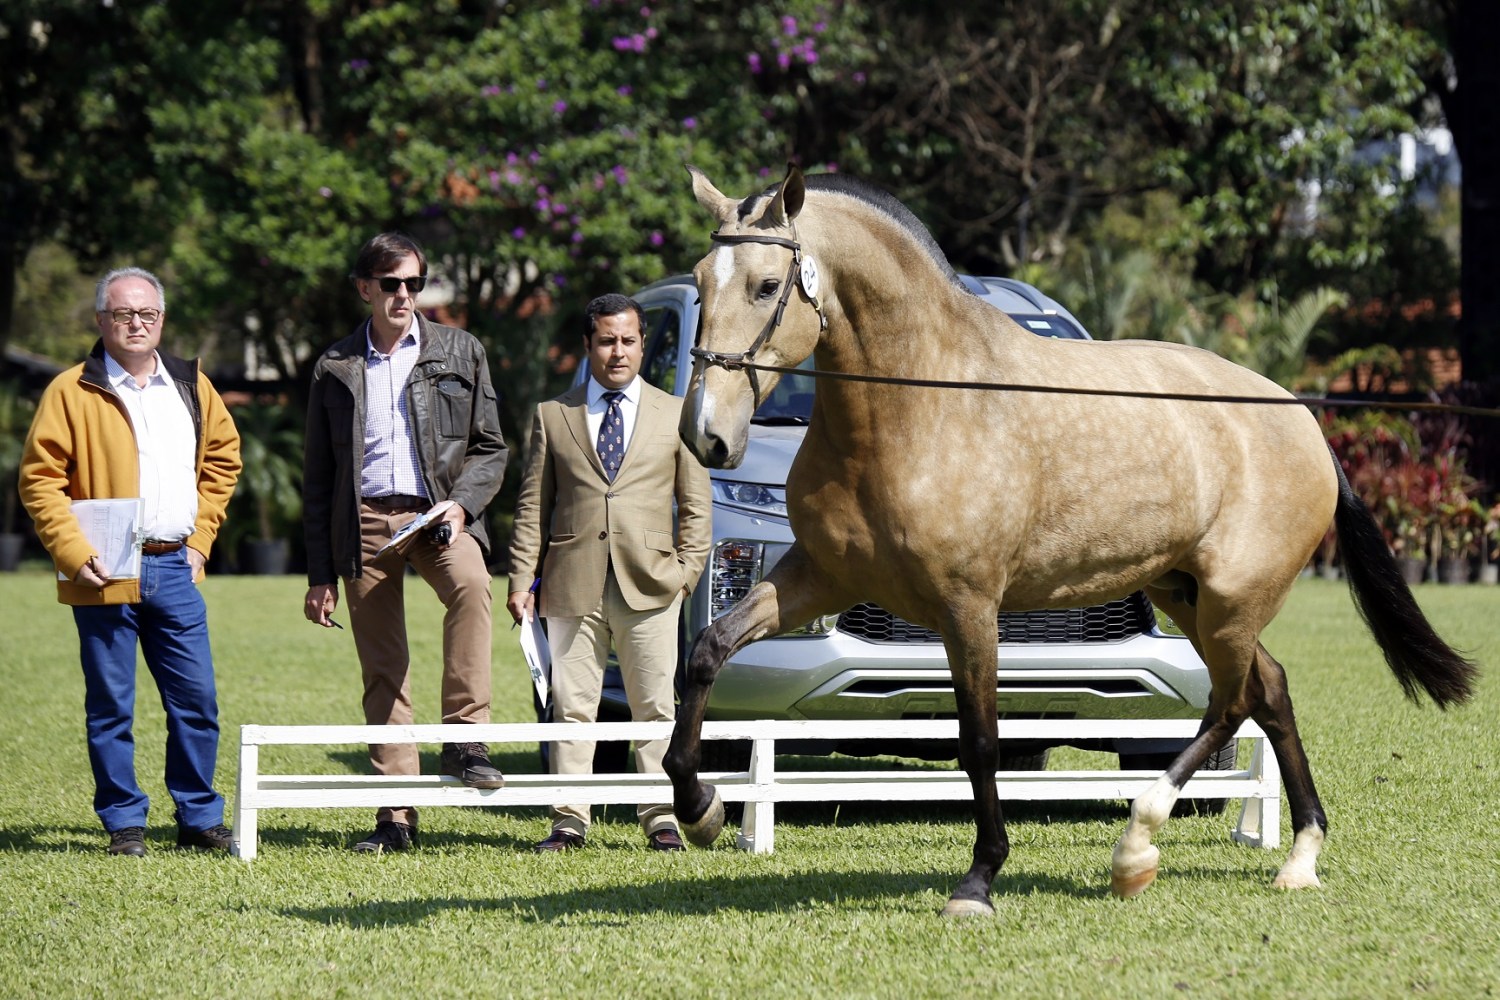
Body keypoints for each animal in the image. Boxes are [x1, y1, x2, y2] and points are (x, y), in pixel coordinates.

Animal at [660, 162, 1476, 917]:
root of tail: (1303, 418)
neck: (920, 404)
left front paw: (979, 882)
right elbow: (704, 654)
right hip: (1185, 594)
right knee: (1267, 690)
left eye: (767, 285)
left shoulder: (968, 607)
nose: (706, 436)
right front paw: (701, 810)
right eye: (701, 280)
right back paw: (1299, 855)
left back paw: (1137, 847)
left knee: (1232, 702)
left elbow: (980, 740)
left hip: (1231, 600)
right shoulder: (819, 578)